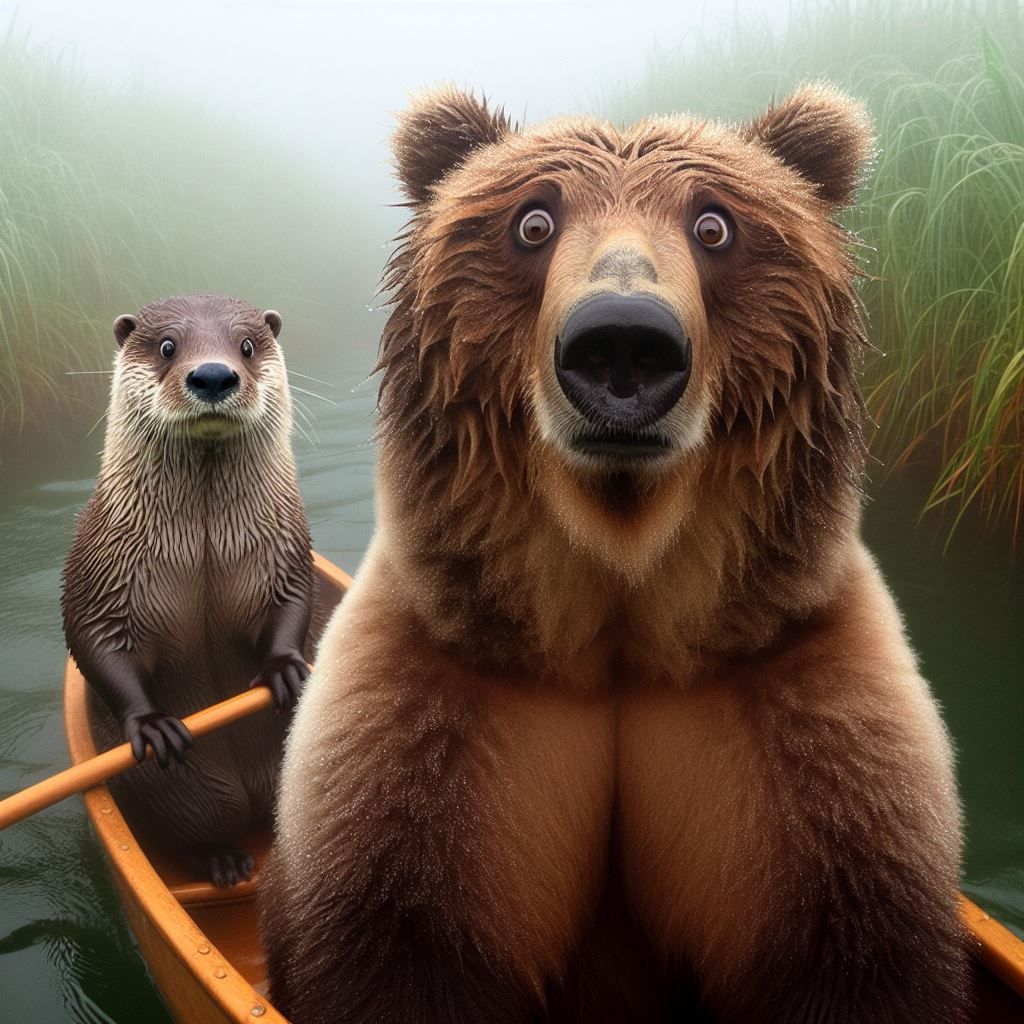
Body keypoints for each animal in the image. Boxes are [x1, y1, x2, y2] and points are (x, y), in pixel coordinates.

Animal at [63, 293, 313, 886]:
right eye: (167, 346)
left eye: (246, 345)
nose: (214, 374)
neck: (202, 550)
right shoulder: (102, 570)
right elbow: (95, 640)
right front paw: (152, 724)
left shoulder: (284, 547)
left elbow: (294, 601)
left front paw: (285, 670)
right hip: (178, 793)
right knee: (198, 827)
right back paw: (222, 860)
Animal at [259, 85, 968, 1023]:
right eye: (532, 222)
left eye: (714, 224)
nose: (624, 342)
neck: (622, 605)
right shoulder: (428, 722)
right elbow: (398, 943)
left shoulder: (809, 725)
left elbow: (857, 945)